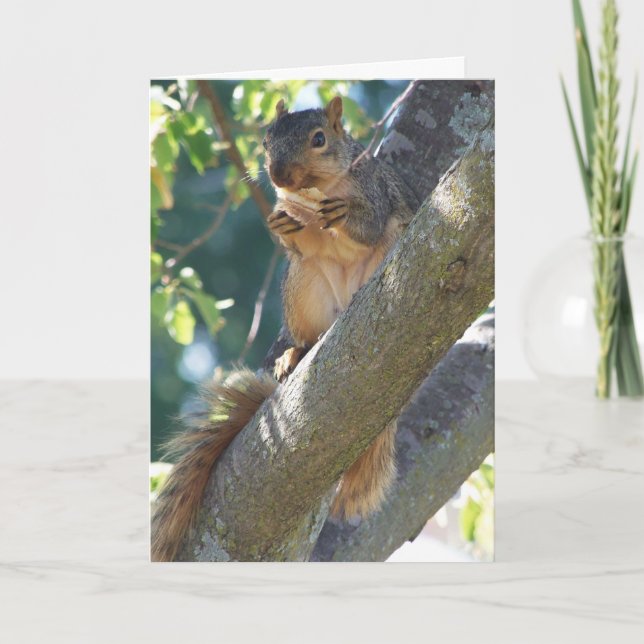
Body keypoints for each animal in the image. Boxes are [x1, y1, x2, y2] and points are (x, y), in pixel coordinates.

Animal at [151, 96, 419, 561]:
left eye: (319, 139)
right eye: (265, 141)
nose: (278, 175)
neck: (321, 194)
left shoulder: (376, 193)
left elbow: (366, 227)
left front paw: (345, 216)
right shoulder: (299, 233)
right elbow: (295, 237)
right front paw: (279, 223)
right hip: (303, 286)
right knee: (308, 331)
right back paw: (295, 353)